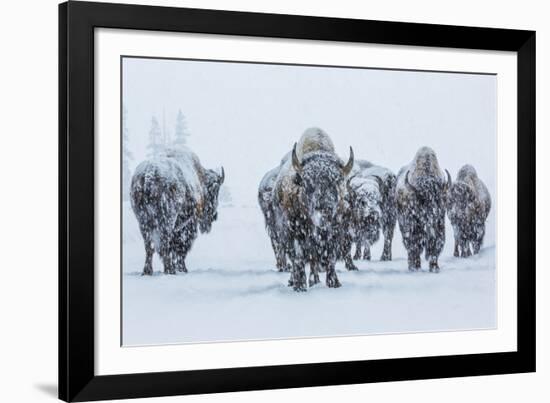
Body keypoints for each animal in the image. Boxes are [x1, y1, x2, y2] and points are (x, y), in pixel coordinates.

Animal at [270, 128, 354, 292]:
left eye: (337, 182)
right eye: (307, 183)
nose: (325, 210)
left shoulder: (335, 232)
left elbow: (330, 257)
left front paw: (334, 283)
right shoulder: (293, 233)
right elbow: (298, 258)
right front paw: (300, 285)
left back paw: (315, 280)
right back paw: (295, 281)